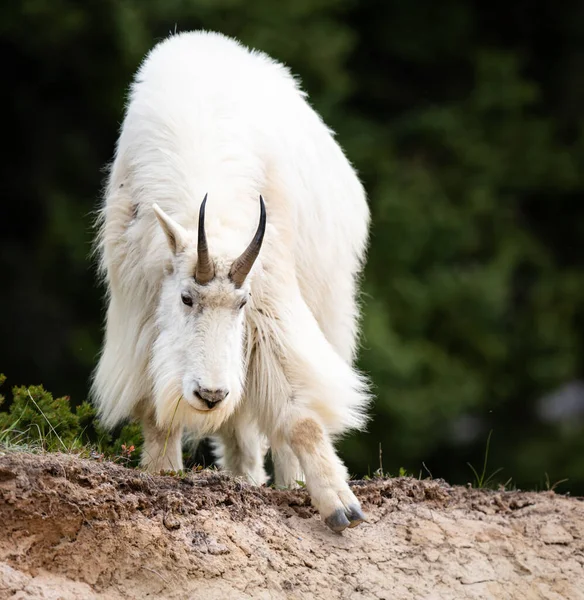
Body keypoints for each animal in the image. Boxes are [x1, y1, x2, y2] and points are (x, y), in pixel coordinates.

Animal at [93, 30, 372, 532]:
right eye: (186, 298)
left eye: (241, 304)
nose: (210, 394)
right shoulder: (141, 311)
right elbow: (158, 415)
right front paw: (163, 472)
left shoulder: (269, 296)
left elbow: (299, 411)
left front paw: (341, 504)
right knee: (240, 430)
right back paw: (245, 479)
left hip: (329, 305)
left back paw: (288, 484)